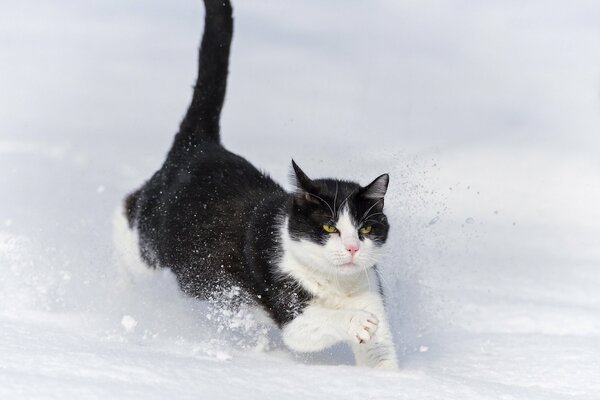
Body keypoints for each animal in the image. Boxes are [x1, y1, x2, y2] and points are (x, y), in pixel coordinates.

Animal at [117, 0, 398, 368]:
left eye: (365, 229)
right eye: (328, 227)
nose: (352, 248)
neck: (337, 284)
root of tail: (201, 145)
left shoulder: (370, 291)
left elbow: (381, 356)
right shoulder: (285, 299)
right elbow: (313, 325)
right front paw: (357, 321)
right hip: (148, 240)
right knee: (126, 211)